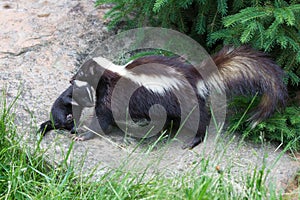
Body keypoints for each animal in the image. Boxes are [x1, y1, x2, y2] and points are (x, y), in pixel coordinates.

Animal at [68, 45, 288, 148]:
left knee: (199, 117)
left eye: (82, 72)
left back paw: (193, 140)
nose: (71, 79)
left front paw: (83, 134)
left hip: (183, 100)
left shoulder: (115, 94)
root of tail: (195, 75)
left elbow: (103, 118)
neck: (113, 73)